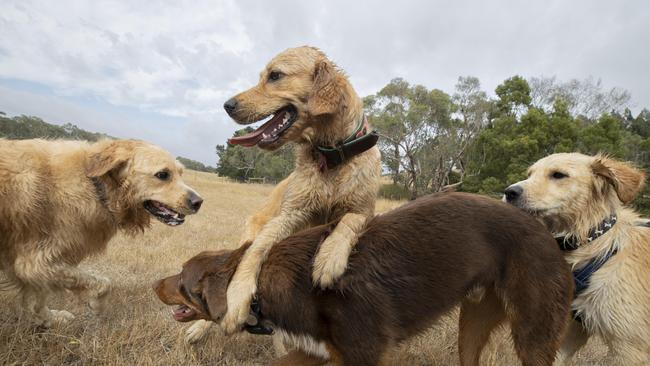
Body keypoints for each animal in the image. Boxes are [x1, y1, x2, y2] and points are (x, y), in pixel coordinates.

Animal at [0, 138, 201, 326]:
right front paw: (97, 307)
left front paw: (48, 318)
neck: (97, 187)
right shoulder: (36, 261)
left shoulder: (35, 264)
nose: (199, 202)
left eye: (181, 173)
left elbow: (37, 297)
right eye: (163, 174)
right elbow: (104, 283)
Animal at [154, 193, 568, 364]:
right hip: (473, 325)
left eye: (183, 282)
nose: (155, 284)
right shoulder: (316, 352)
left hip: (533, 334)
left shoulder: (365, 354)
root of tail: (549, 234)